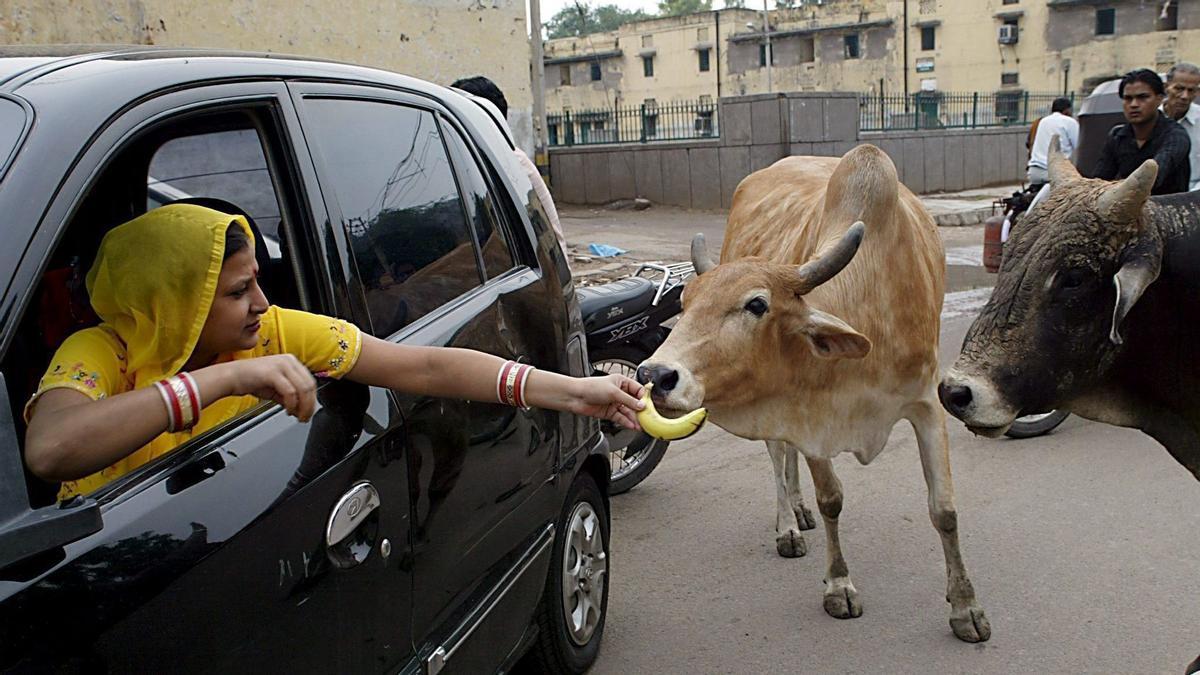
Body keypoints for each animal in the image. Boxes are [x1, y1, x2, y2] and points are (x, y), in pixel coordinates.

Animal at [643, 144, 988, 638]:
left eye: (757, 304)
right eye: (685, 302)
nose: (654, 374)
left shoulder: (925, 403)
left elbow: (944, 509)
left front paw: (966, 607)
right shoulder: (810, 415)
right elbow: (832, 499)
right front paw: (839, 585)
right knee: (776, 453)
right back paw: (789, 522)